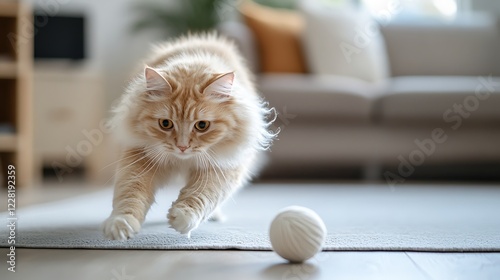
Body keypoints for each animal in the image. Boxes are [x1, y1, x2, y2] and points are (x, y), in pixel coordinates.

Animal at [101, 32, 278, 238]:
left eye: (202, 125)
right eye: (166, 124)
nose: (182, 147)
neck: (182, 161)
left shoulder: (222, 167)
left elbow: (202, 195)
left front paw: (183, 218)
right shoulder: (138, 157)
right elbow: (130, 195)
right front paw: (120, 225)